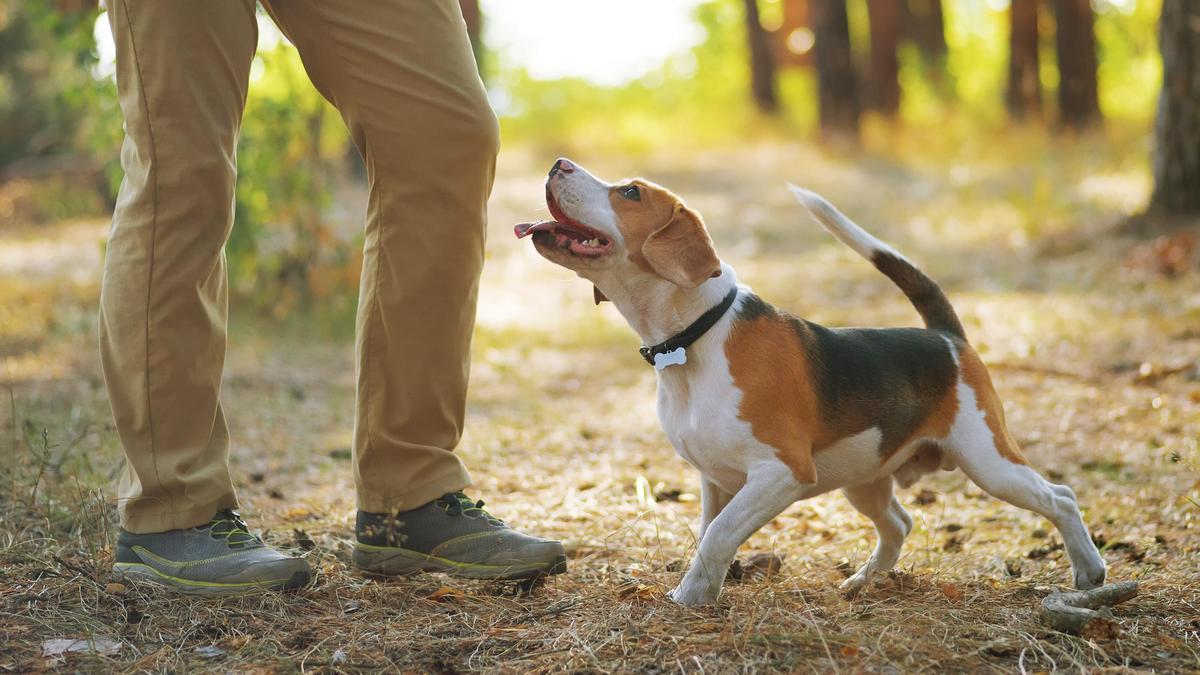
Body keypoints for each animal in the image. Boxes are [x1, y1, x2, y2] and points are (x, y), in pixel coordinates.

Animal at [516, 156, 1104, 605]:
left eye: (631, 192)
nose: (558, 163)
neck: (695, 338)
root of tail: (945, 337)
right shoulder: (715, 479)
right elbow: (709, 533)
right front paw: (705, 590)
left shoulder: (783, 471)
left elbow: (719, 534)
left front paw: (689, 598)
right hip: (865, 477)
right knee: (899, 524)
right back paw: (862, 582)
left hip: (988, 461)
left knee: (1061, 497)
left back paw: (1090, 572)